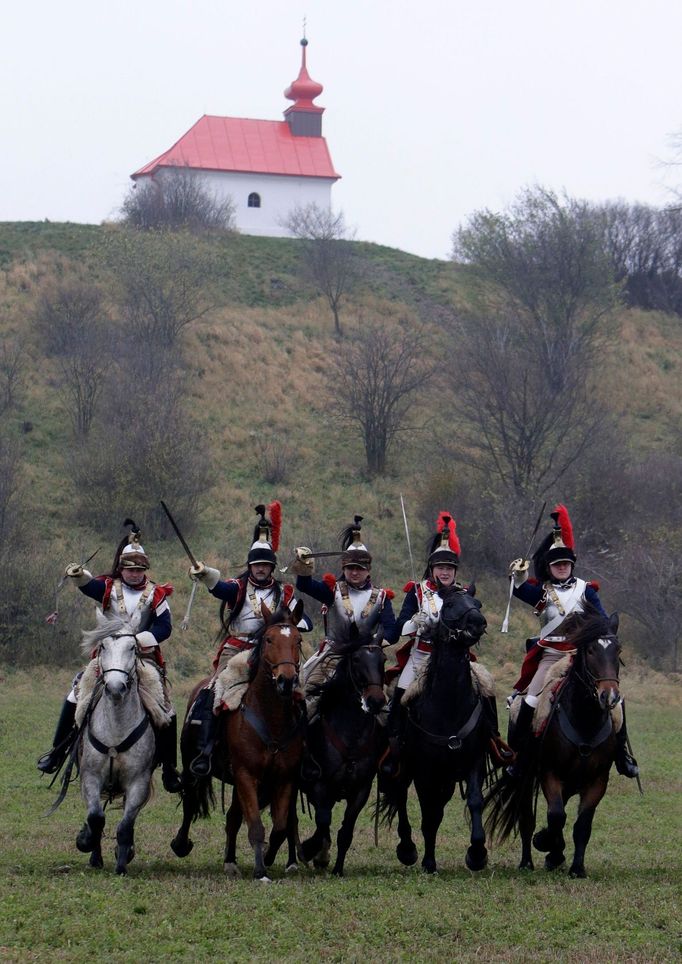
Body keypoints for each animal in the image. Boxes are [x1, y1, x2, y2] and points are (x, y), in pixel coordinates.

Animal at [75, 616, 156, 872]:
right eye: (103, 647)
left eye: (132, 648)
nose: (115, 688)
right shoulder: (90, 778)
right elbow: (95, 818)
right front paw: (86, 842)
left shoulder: (138, 783)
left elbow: (125, 825)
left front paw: (122, 863)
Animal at [170, 604, 302, 880]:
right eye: (269, 639)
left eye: (298, 640)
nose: (286, 680)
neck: (270, 719)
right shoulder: (246, 775)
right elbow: (256, 826)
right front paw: (261, 871)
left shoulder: (284, 779)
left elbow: (279, 827)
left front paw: (268, 858)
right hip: (191, 766)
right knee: (190, 802)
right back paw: (181, 844)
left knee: (233, 817)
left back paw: (230, 861)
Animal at [298, 616, 386, 872]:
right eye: (356, 659)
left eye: (383, 660)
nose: (375, 701)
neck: (351, 736)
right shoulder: (320, 786)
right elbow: (322, 823)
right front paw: (312, 852)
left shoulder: (360, 791)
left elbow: (345, 831)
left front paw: (336, 868)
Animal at [378, 584, 488, 876]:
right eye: (449, 605)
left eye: (477, 603)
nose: (478, 622)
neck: (448, 705)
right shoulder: (425, 772)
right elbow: (427, 813)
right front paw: (427, 861)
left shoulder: (472, 762)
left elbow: (474, 801)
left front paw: (477, 853)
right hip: (406, 768)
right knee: (401, 797)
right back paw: (408, 849)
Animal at [484, 612, 620, 880]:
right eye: (591, 650)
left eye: (617, 650)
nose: (609, 696)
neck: (585, 721)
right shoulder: (550, 774)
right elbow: (556, 816)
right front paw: (547, 846)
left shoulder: (597, 781)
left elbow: (581, 825)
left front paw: (576, 867)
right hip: (526, 777)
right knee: (528, 818)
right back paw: (528, 861)